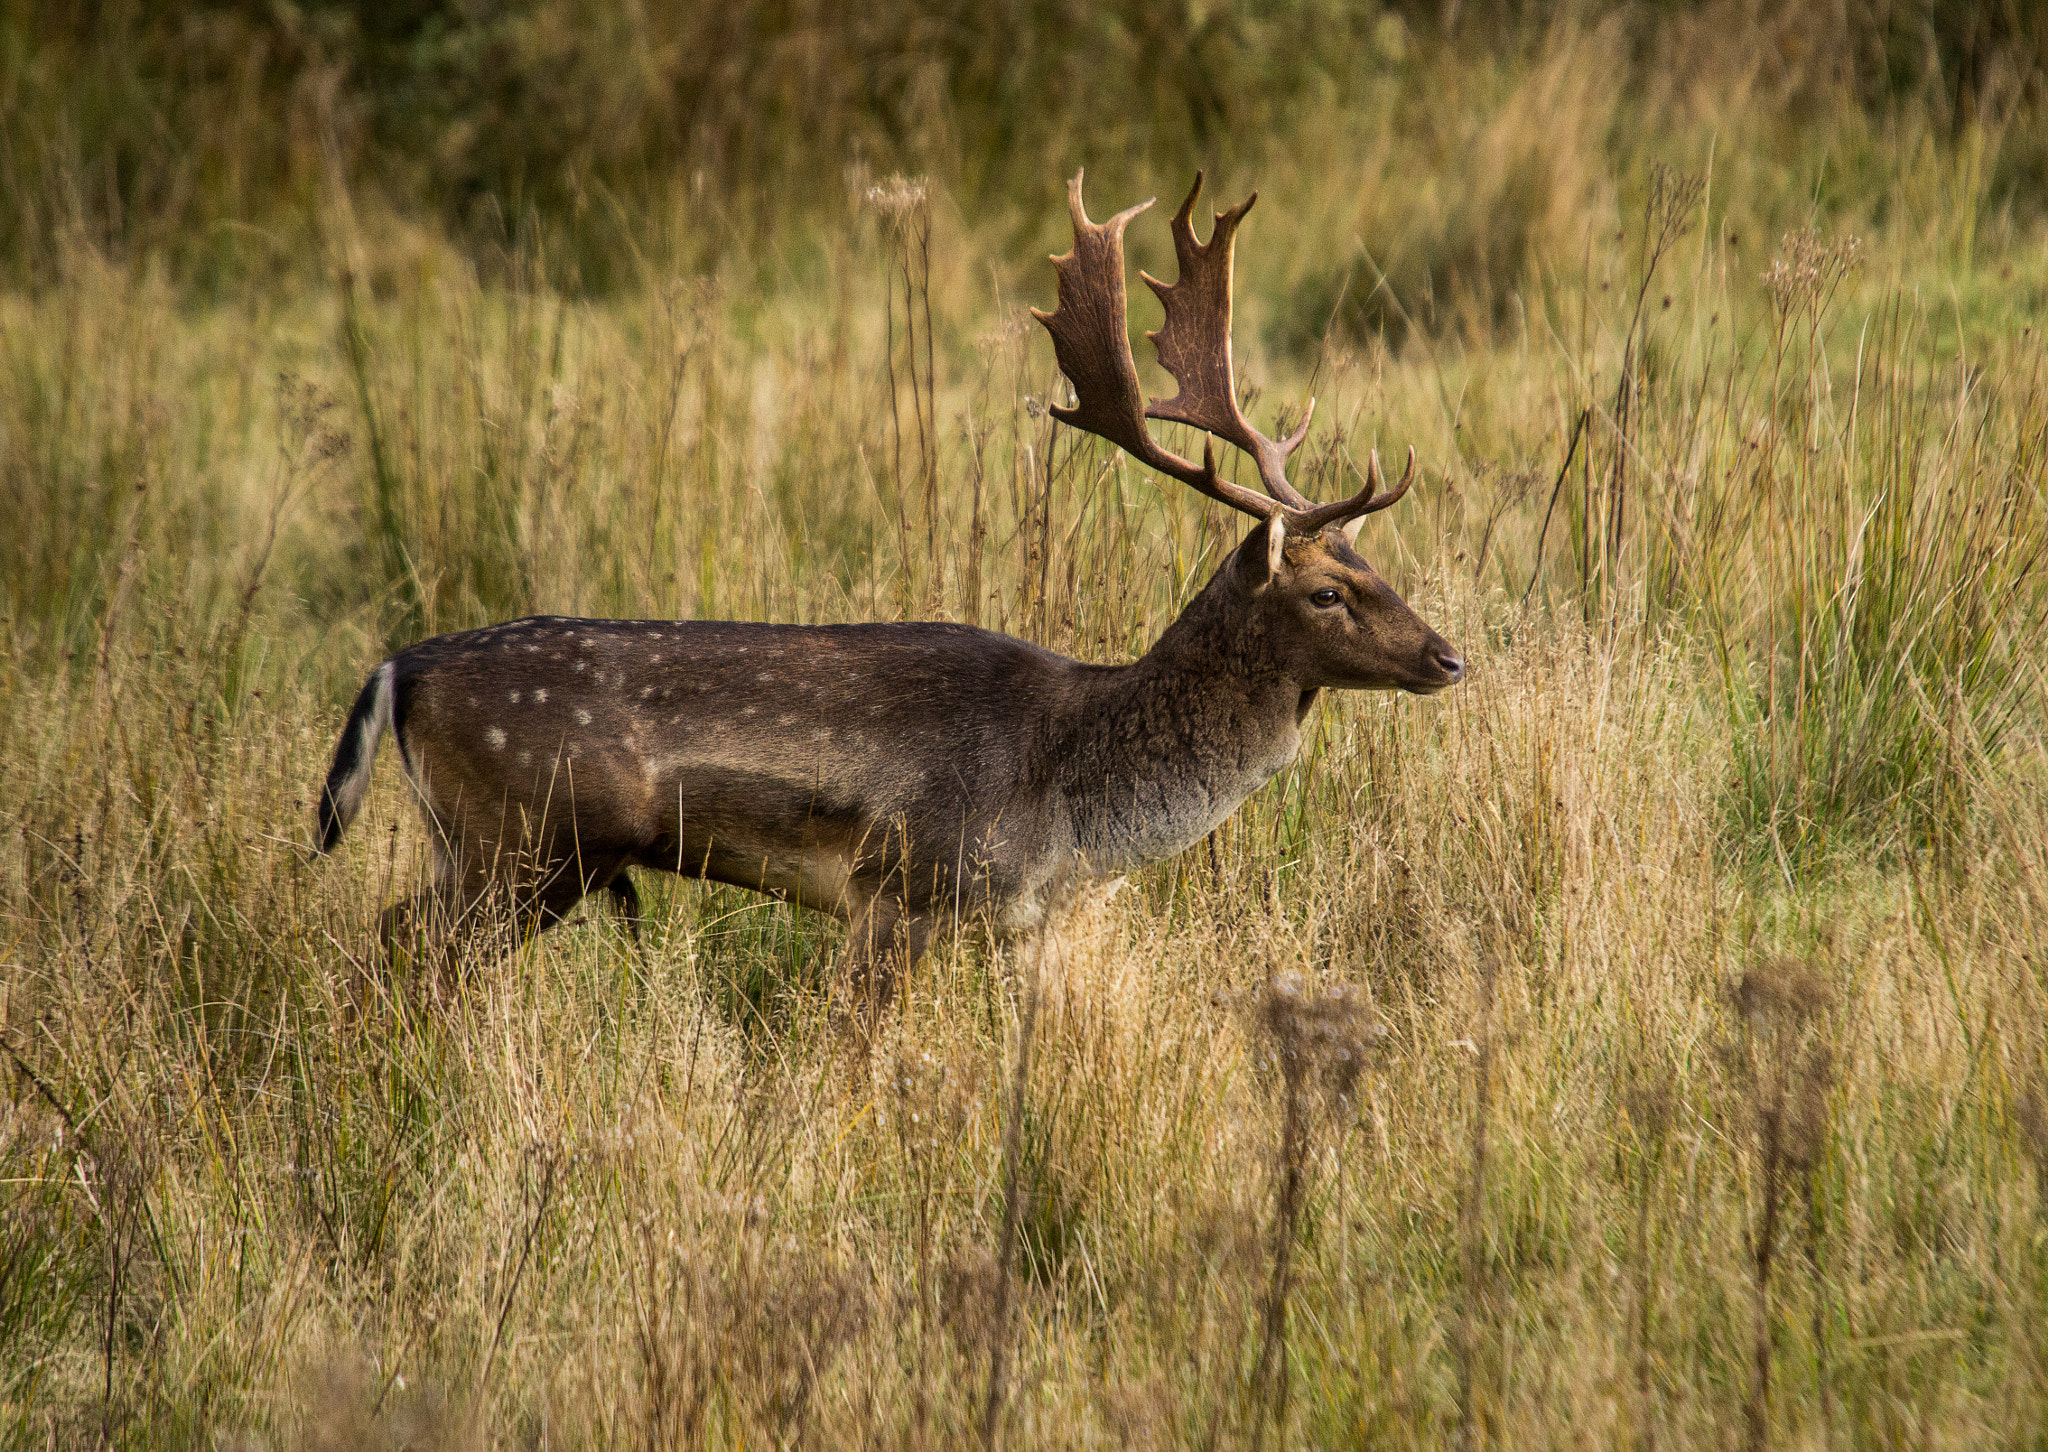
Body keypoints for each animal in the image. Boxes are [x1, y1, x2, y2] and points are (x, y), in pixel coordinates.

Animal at [313, 171, 1464, 1002]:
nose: (1447, 656)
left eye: (1374, 565)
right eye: (1325, 594)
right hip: (516, 839)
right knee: (390, 955)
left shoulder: (1031, 929)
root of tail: (397, 668)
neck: (1072, 804)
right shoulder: (904, 889)